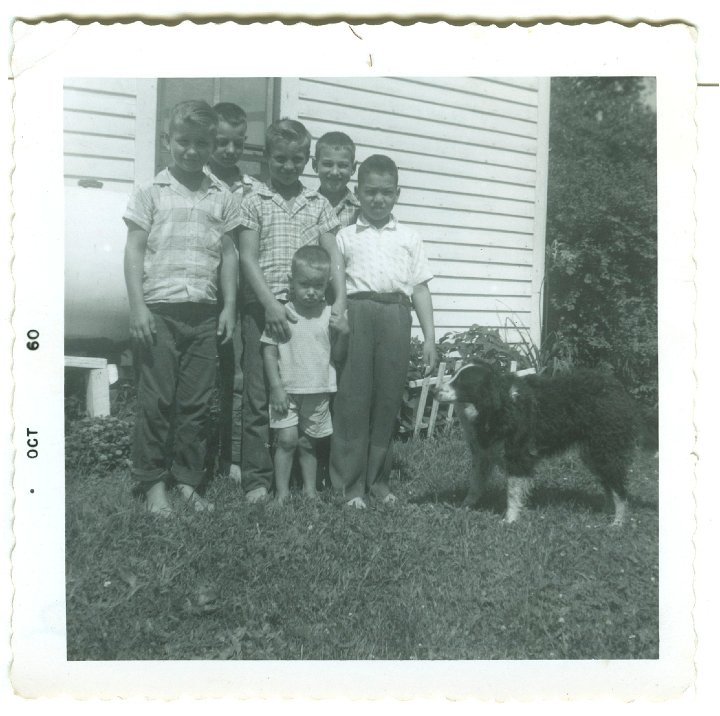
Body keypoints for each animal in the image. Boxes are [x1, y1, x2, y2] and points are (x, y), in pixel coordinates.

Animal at [434, 364, 636, 524]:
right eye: (453, 374)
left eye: (462, 381)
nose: (434, 391)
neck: (496, 407)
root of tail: (617, 387)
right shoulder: (483, 455)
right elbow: (474, 486)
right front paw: (463, 507)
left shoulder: (518, 457)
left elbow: (512, 493)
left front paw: (510, 520)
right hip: (593, 455)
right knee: (609, 485)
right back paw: (606, 512)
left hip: (604, 451)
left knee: (619, 489)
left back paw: (617, 523)